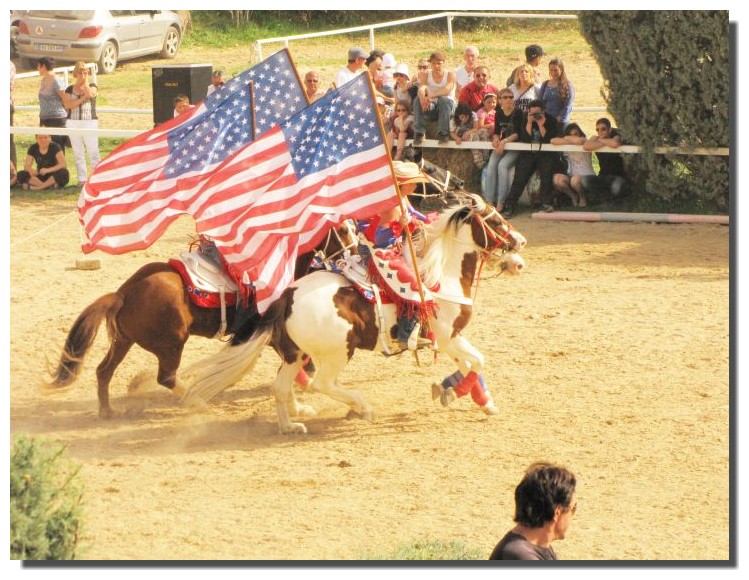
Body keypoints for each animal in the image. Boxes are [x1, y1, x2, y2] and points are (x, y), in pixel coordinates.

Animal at [44, 221, 359, 418]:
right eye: (343, 230)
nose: (354, 256)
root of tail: (123, 293)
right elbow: (292, 362)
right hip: (171, 344)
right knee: (166, 377)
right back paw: (195, 401)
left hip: (123, 341)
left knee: (103, 371)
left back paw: (107, 411)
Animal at [180, 194, 527, 434]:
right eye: (496, 221)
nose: (520, 247)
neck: (442, 275)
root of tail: (286, 298)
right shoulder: (449, 336)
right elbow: (478, 362)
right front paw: (454, 393)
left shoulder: (450, 339)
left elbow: (470, 365)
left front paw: (474, 398)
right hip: (337, 352)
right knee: (322, 384)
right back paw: (361, 408)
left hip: (294, 354)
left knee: (281, 387)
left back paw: (290, 425)